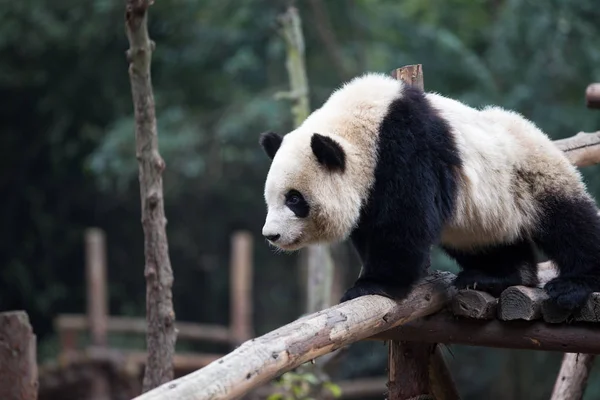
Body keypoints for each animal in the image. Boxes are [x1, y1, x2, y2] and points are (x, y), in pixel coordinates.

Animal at [256, 72, 600, 310]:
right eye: (270, 198)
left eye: (294, 199)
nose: (271, 235)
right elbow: (371, 225)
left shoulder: (406, 146)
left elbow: (406, 219)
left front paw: (373, 285)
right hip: (487, 216)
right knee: (491, 243)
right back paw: (498, 275)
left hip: (530, 173)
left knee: (571, 223)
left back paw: (573, 285)